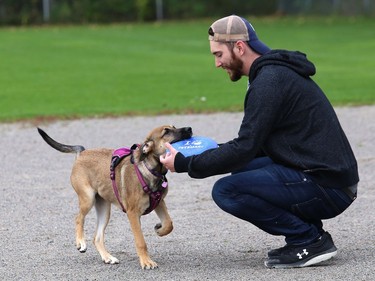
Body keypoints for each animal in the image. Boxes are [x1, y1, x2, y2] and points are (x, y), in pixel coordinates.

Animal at [37, 125, 194, 270]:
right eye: (166, 131)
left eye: (173, 127)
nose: (189, 129)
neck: (150, 169)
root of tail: (82, 152)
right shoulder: (133, 213)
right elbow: (141, 241)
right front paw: (146, 262)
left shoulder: (159, 202)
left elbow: (169, 224)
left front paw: (159, 229)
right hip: (88, 198)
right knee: (78, 218)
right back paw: (81, 242)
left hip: (104, 209)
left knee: (97, 238)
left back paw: (108, 257)